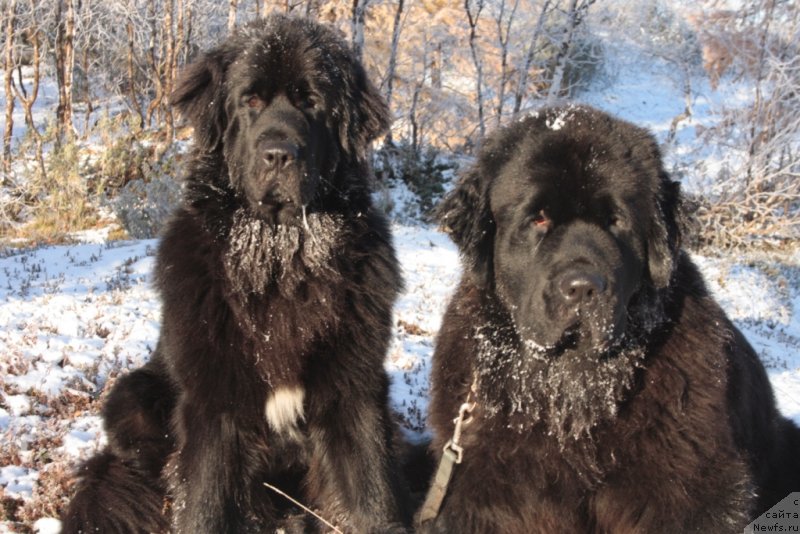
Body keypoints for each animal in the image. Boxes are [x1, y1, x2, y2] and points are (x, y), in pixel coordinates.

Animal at [63, 14, 410, 532]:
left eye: (311, 102)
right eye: (250, 101)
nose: (279, 153)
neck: (279, 260)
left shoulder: (355, 391)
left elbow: (370, 495)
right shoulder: (213, 403)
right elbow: (205, 500)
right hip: (132, 393)